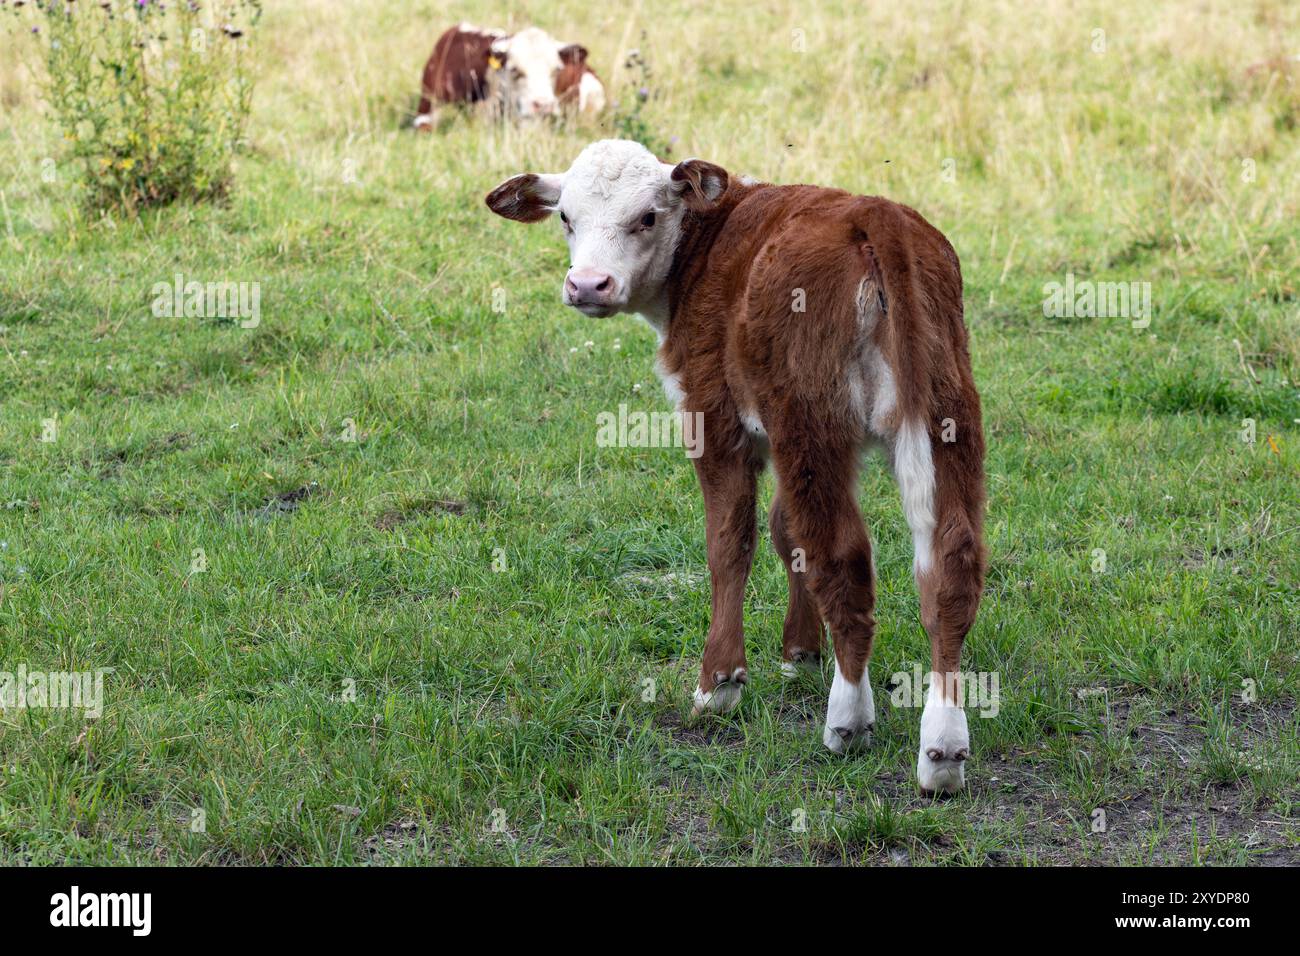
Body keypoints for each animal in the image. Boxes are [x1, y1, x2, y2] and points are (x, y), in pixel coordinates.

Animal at [486, 138, 982, 796]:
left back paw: (849, 717)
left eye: (648, 217)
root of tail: (874, 215)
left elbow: (730, 542)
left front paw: (720, 682)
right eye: (566, 217)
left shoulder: (713, 416)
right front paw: (801, 652)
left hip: (810, 418)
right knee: (949, 564)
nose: (588, 284)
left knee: (845, 557)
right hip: (943, 413)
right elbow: (786, 532)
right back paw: (942, 748)